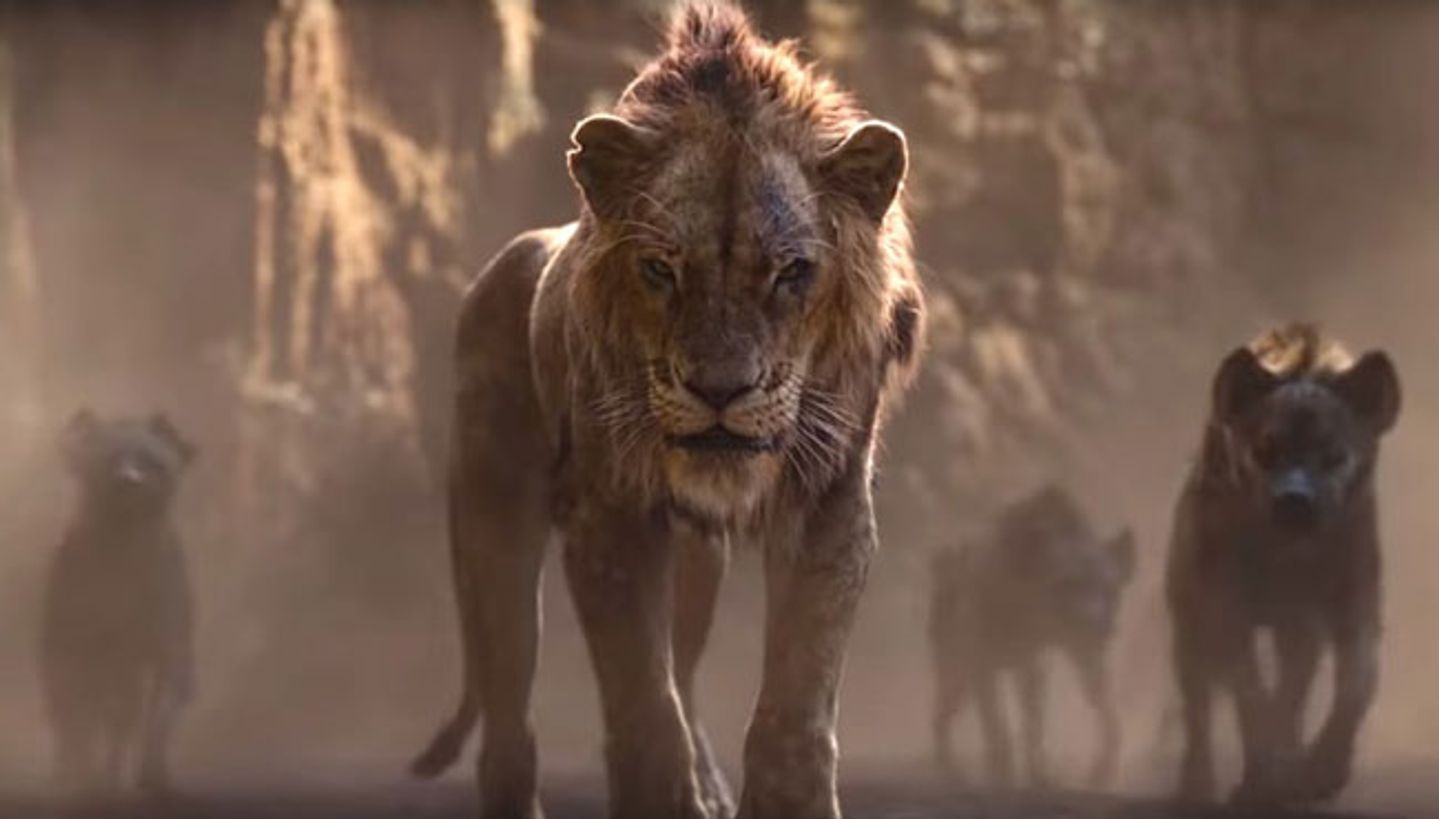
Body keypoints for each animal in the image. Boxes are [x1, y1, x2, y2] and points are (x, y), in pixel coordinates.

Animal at [40, 409, 197, 795]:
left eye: (151, 461)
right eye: (108, 459)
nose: (130, 482)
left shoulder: (169, 652)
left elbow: (157, 719)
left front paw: (152, 775)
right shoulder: (70, 652)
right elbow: (77, 726)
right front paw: (84, 776)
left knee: (120, 722)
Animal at [409, 4, 923, 818]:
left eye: (790, 272)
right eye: (660, 269)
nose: (720, 390)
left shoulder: (830, 504)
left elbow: (794, 704)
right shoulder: (611, 516)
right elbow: (644, 708)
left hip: (696, 562)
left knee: (680, 670)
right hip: (495, 529)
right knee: (508, 724)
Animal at [929, 484, 1135, 790]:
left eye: (1109, 588)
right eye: (1067, 583)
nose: (1096, 623)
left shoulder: (1052, 657)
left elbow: (1098, 705)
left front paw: (1090, 772)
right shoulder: (981, 658)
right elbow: (996, 722)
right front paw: (1003, 773)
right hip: (954, 665)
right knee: (943, 712)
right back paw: (953, 772)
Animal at [1167, 324, 1400, 806]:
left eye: (1334, 455)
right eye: (1264, 450)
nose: (1295, 501)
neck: (1288, 559)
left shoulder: (1352, 602)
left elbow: (1357, 683)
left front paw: (1322, 771)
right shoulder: (1225, 608)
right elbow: (1250, 694)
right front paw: (1260, 781)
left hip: (1297, 632)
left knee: (1294, 690)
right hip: (1189, 624)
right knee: (1197, 705)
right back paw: (1197, 785)